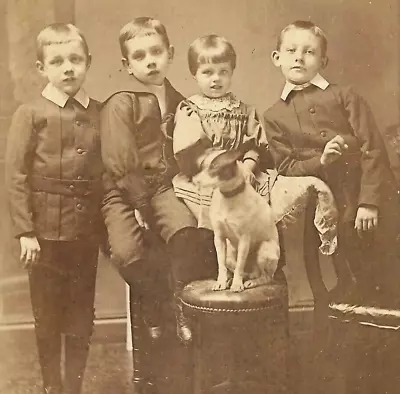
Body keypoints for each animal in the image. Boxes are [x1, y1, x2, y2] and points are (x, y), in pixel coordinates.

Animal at [195, 149, 282, 290]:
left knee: (266, 277)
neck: (228, 196)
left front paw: (236, 284)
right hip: (230, 254)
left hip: (264, 249)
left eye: (215, 166)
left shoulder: (244, 240)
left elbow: (240, 266)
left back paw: (251, 282)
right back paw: (231, 280)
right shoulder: (219, 238)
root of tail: (252, 271)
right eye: (202, 166)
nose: (194, 180)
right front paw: (221, 282)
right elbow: (221, 265)